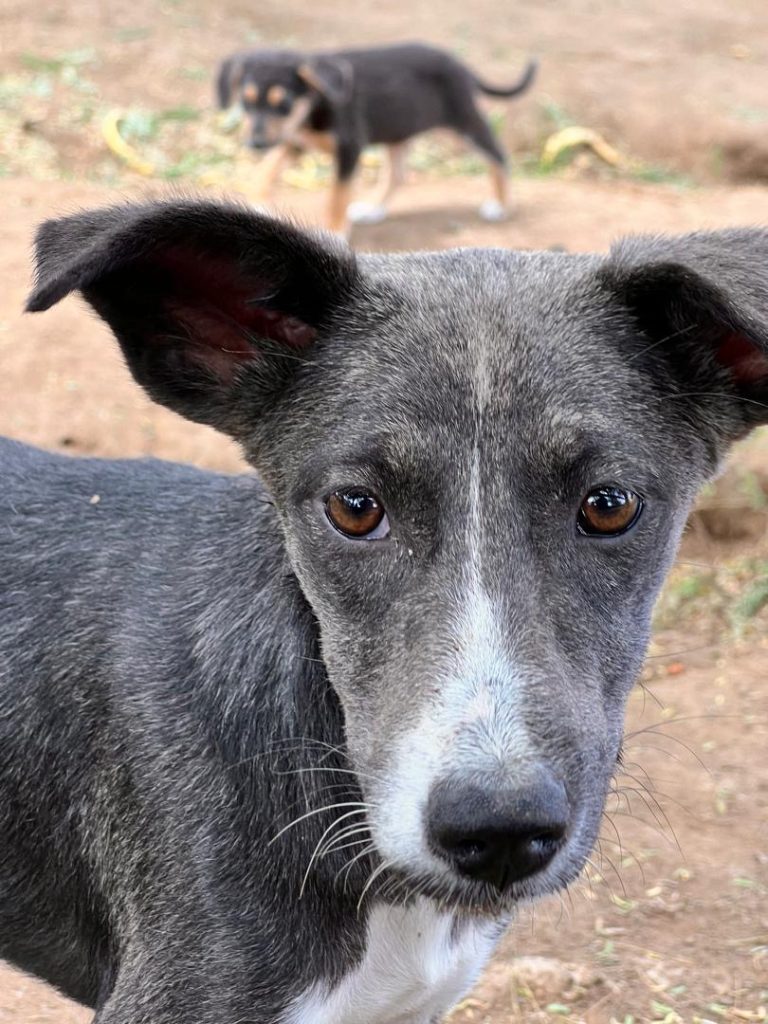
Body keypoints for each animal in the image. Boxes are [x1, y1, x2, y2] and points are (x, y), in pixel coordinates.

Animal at [216, 42, 537, 234]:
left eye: (282, 104)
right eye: (246, 102)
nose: (255, 144)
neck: (316, 105)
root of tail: (460, 65)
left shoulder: (349, 148)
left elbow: (338, 196)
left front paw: (334, 233)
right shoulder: (294, 142)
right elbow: (265, 171)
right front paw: (259, 203)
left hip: (463, 124)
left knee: (498, 155)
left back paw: (503, 206)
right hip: (397, 132)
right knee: (397, 175)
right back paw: (373, 210)